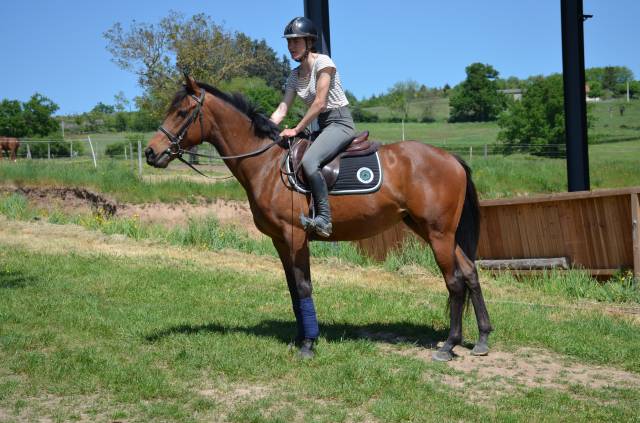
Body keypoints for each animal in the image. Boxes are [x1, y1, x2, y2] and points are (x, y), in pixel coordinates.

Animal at [144, 75, 492, 361]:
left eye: (181, 112)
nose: (150, 152)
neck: (267, 164)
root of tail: (451, 158)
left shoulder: (296, 236)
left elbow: (304, 287)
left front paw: (309, 345)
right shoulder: (280, 241)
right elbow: (292, 290)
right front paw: (300, 337)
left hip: (438, 234)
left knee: (455, 282)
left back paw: (449, 345)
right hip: (433, 231)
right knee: (470, 273)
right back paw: (482, 340)